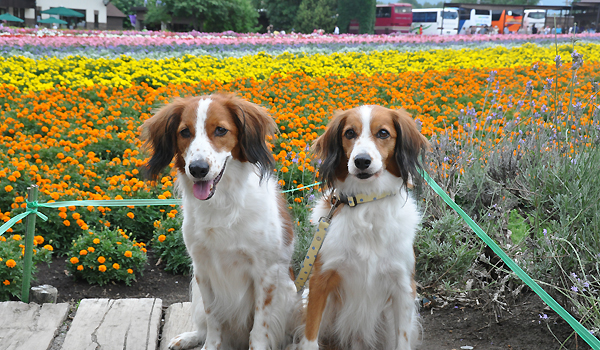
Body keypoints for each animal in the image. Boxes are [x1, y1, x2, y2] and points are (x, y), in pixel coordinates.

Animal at [141, 93, 300, 350]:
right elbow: (213, 319)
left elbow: (259, 329)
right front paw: (210, 345)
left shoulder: (265, 275)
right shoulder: (203, 271)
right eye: (184, 132)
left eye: (221, 130)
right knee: (203, 325)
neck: (222, 204)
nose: (197, 169)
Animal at [298, 104, 428, 350]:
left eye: (383, 133)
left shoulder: (403, 286)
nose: (361, 161)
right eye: (349, 133)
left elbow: (402, 340)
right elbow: (309, 336)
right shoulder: (320, 280)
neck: (367, 202)